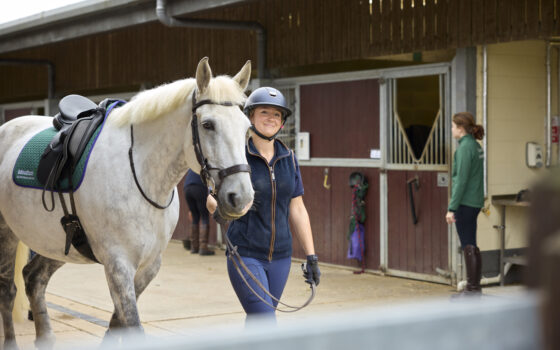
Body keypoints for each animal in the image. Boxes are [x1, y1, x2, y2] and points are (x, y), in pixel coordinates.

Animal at [0, 56, 254, 348]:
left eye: (247, 129)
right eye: (208, 124)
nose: (241, 197)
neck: (141, 172)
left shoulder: (148, 266)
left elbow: (116, 324)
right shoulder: (118, 265)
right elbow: (131, 323)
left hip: (59, 241)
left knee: (34, 278)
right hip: (7, 232)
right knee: (7, 289)